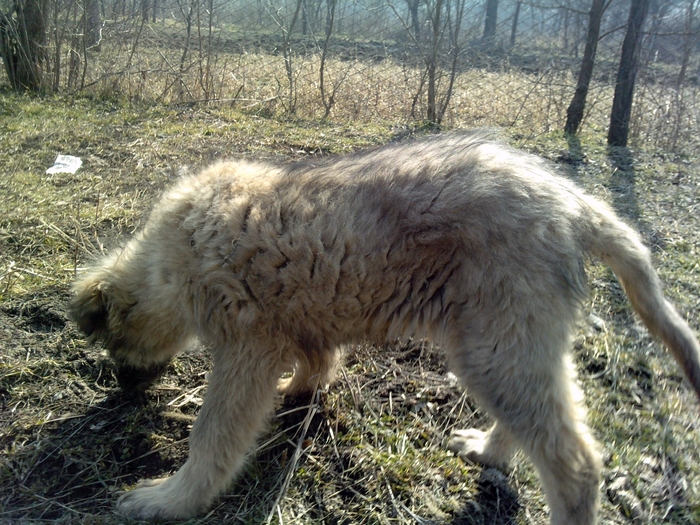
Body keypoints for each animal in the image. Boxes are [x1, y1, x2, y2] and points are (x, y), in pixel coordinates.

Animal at [72, 132, 700, 524]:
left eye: (112, 342)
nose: (122, 393)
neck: (171, 257)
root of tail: (572, 203)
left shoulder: (245, 351)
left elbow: (213, 439)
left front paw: (171, 500)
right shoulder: (299, 328)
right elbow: (317, 361)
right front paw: (298, 391)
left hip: (495, 346)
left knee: (576, 464)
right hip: (516, 342)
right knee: (545, 420)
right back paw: (490, 450)